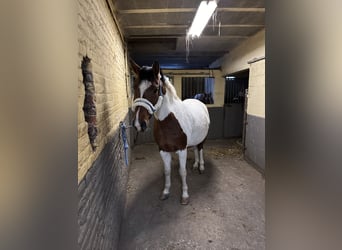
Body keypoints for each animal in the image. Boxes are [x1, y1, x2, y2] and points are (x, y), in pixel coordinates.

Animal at [131, 60, 211, 205]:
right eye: (134, 87)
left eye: (155, 89)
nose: (139, 124)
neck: (170, 122)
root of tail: (199, 101)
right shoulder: (163, 150)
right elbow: (167, 171)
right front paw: (166, 192)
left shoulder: (182, 150)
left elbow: (182, 172)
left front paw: (184, 195)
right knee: (195, 149)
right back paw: (195, 165)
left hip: (202, 139)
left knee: (200, 149)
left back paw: (201, 167)